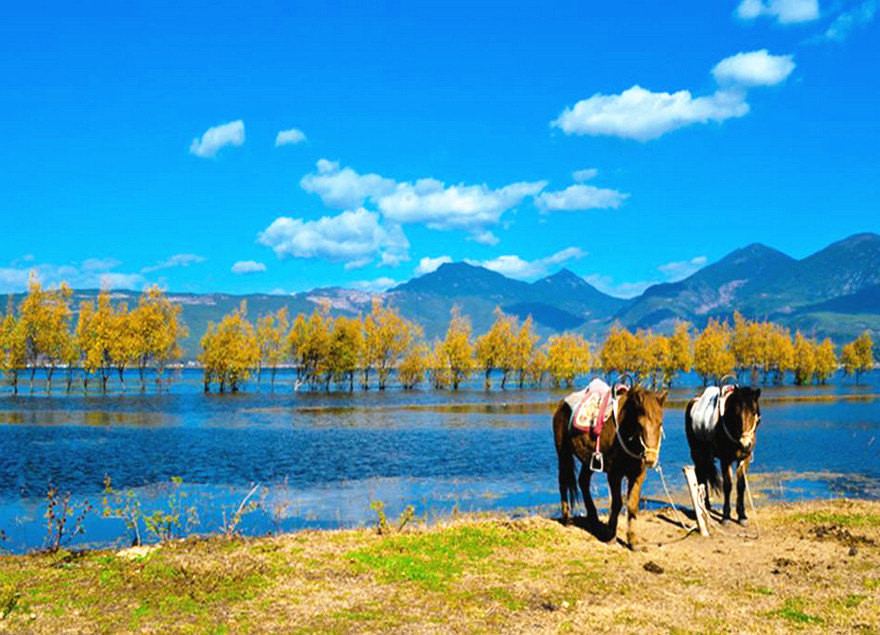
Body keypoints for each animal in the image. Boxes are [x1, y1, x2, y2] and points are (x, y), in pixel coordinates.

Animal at [552, 386, 672, 548]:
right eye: (640, 425)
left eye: (660, 424)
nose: (650, 458)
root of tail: (561, 404)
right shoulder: (614, 474)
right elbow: (616, 504)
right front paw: (611, 537)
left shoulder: (638, 475)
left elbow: (632, 504)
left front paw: (632, 541)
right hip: (563, 453)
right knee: (563, 482)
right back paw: (567, 518)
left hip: (588, 461)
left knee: (583, 482)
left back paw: (594, 519)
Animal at [684, 388, 760, 528]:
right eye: (736, 414)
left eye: (753, 412)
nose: (745, 444)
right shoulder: (726, 459)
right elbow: (728, 485)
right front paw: (726, 517)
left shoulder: (744, 459)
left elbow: (741, 485)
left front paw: (742, 516)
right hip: (697, 453)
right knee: (700, 474)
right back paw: (705, 505)